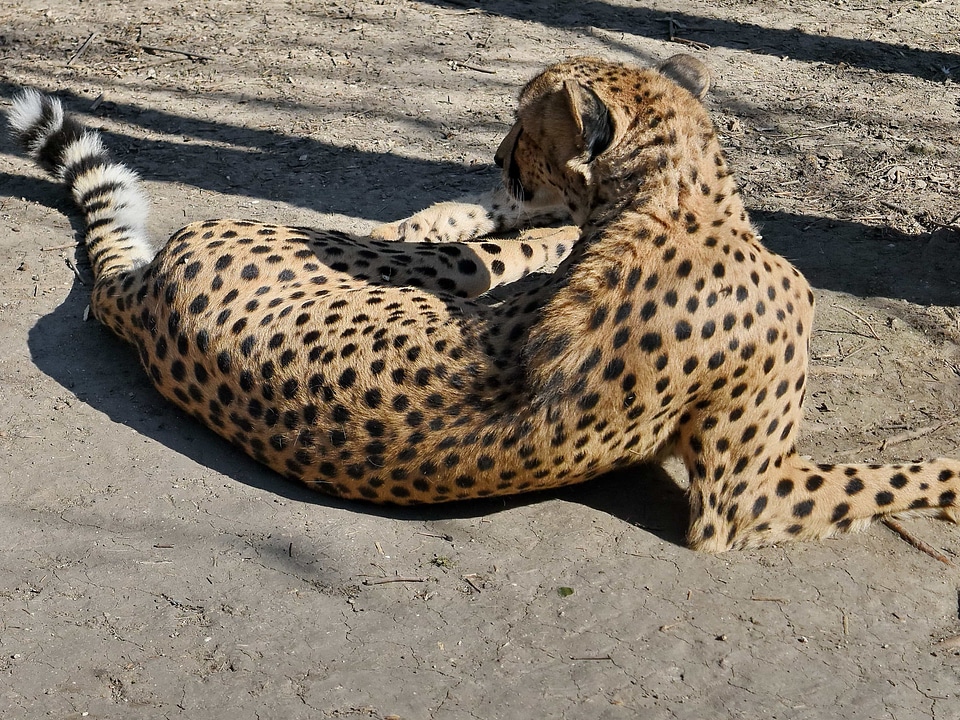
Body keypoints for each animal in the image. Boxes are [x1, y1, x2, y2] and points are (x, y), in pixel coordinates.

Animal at [7, 54, 960, 552]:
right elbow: (892, 476)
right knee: (470, 246)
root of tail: (142, 295)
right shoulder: (742, 501)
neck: (671, 199)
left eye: (523, 126)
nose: (500, 158)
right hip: (419, 267)